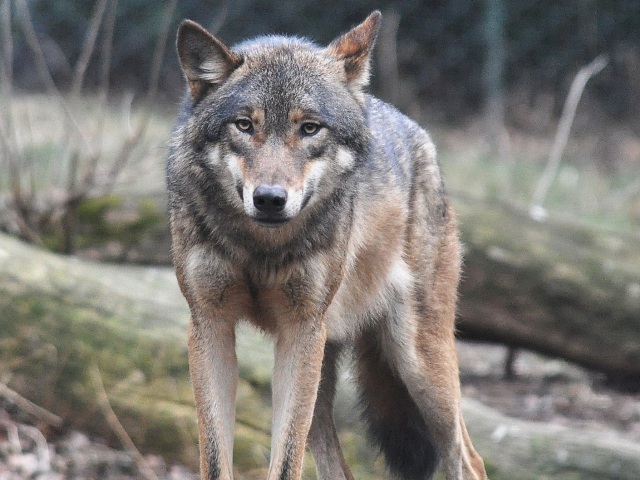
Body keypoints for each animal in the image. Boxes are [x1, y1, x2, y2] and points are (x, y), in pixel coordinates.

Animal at [168, 10, 488, 480]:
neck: (261, 248)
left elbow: (285, 462)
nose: (269, 199)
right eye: (245, 125)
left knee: (469, 458)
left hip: (417, 363)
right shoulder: (210, 325)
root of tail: (418, 133)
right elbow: (214, 457)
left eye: (309, 128)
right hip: (322, 371)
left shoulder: (301, 330)